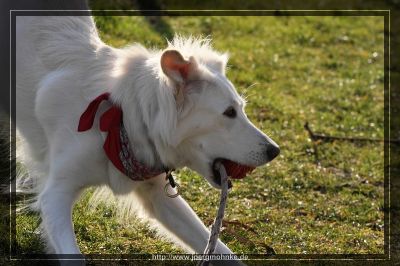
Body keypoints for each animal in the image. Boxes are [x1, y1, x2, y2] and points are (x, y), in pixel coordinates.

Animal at [14, 15, 278, 262]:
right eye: (229, 112)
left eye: (241, 109)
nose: (275, 151)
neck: (121, 121)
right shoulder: (55, 195)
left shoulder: (159, 196)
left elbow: (218, 248)